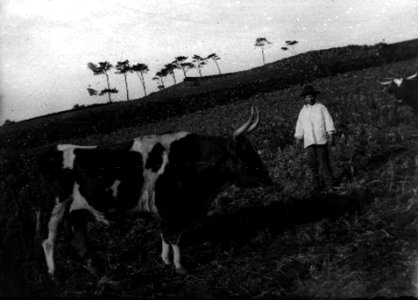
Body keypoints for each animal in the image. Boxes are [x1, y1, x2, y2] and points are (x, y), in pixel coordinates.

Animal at [36, 107, 272, 276]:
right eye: (245, 154)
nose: (268, 179)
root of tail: (50, 151)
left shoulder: (164, 210)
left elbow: (164, 235)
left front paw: (166, 260)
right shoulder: (171, 207)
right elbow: (174, 237)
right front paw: (180, 267)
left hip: (77, 213)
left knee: (78, 241)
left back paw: (94, 269)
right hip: (55, 208)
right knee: (49, 240)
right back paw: (54, 274)